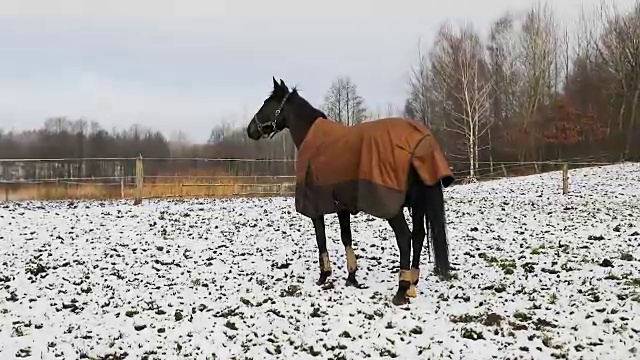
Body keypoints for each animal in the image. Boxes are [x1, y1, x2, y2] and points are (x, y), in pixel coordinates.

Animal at [246, 78, 456, 304]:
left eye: (267, 103)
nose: (250, 130)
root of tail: (420, 141)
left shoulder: (315, 207)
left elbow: (321, 239)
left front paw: (324, 275)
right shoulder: (342, 206)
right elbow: (346, 237)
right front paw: (352, 276)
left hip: (392, 208)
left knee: (405, 238)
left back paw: (401, 290)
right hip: (417, 205)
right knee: (418, 236)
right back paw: (412, 284)